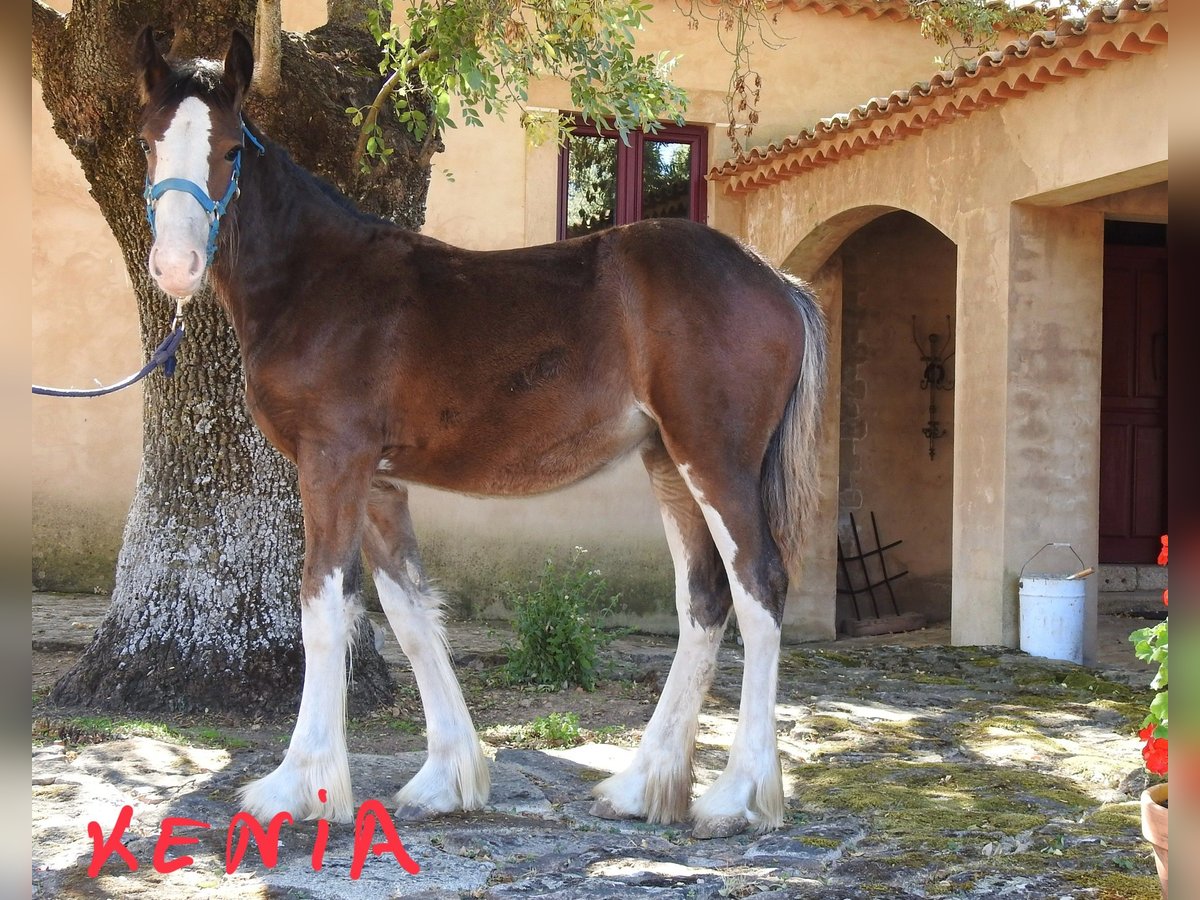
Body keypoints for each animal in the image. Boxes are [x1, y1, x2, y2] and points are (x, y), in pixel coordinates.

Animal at [131, 30, 825, 844]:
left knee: (759, 588)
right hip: (666, 462)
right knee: (705, 600)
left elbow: (324, 610)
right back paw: (642, 785)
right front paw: (447, 778)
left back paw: (739, 795)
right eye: (148, 140)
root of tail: (778, 282)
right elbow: (409, 613)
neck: (315, 282)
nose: (176, 267)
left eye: (231, 146)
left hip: (716, 459)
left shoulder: (331, 464)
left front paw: (300, 787)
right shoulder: (378, 481)